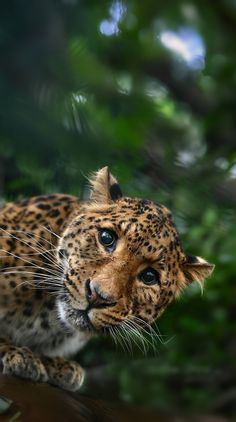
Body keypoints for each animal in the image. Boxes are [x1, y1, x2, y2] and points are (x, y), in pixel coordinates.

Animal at [0, 166, 214, 390]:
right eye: (106, 238)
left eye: (149, 277)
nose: (97, 296)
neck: (48, 319)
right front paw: (19, 354)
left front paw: (58, 365)